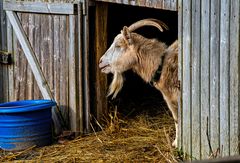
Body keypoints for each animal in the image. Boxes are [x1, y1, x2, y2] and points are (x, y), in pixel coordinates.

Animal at [98, 19, 179, 148]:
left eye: (118, 46)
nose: (100, 62)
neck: (162, 64)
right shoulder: (170, 99)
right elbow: (176, 119)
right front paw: (176, 143)